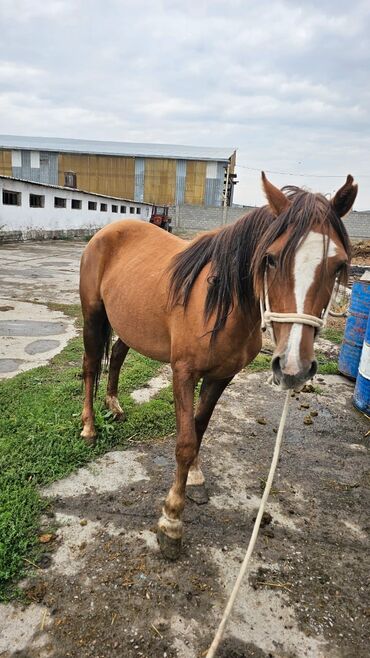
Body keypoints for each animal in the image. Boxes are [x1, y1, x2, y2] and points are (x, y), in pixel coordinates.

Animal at [80, 174, 356, 560]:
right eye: (270, 259)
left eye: (338, 265)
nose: (293, 367)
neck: (222, 302)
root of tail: (108, 231)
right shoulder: (183, 373)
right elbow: (184, 442)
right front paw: (171, 521)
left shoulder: (221, 377)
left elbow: (199, 428)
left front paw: (195, 480)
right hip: (93, 316)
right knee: (91, 366)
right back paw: (89, 427)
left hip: (133, 326)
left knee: (117, 355)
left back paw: (115, 405)